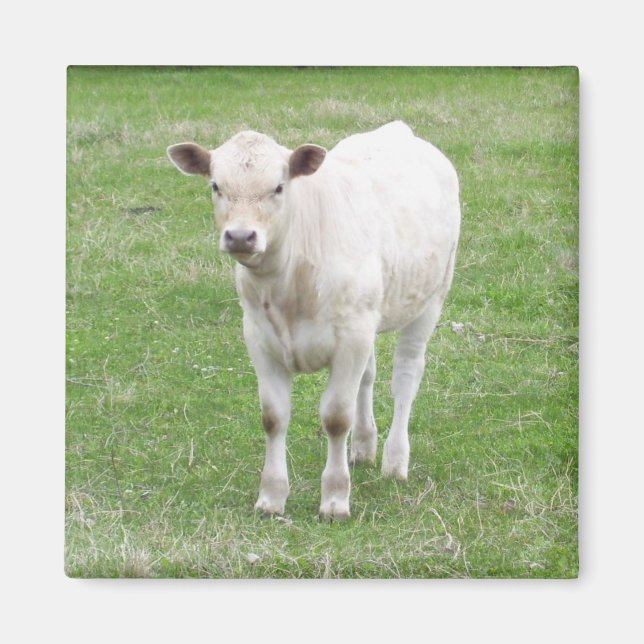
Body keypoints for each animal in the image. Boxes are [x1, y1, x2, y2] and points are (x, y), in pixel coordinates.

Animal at [167, 121, 460, 520]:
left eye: (278, 186)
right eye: (215, 185)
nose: (241, 236)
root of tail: (398, 130)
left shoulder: (350, 338)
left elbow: (336, 417)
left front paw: (335, 499)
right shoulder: (260, 339)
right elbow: (273, 417)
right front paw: (271, 497)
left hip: (431, 297)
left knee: (406, 376)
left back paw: (395, 461)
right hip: (370, 312)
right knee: (368, 377)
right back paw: (364, 447)